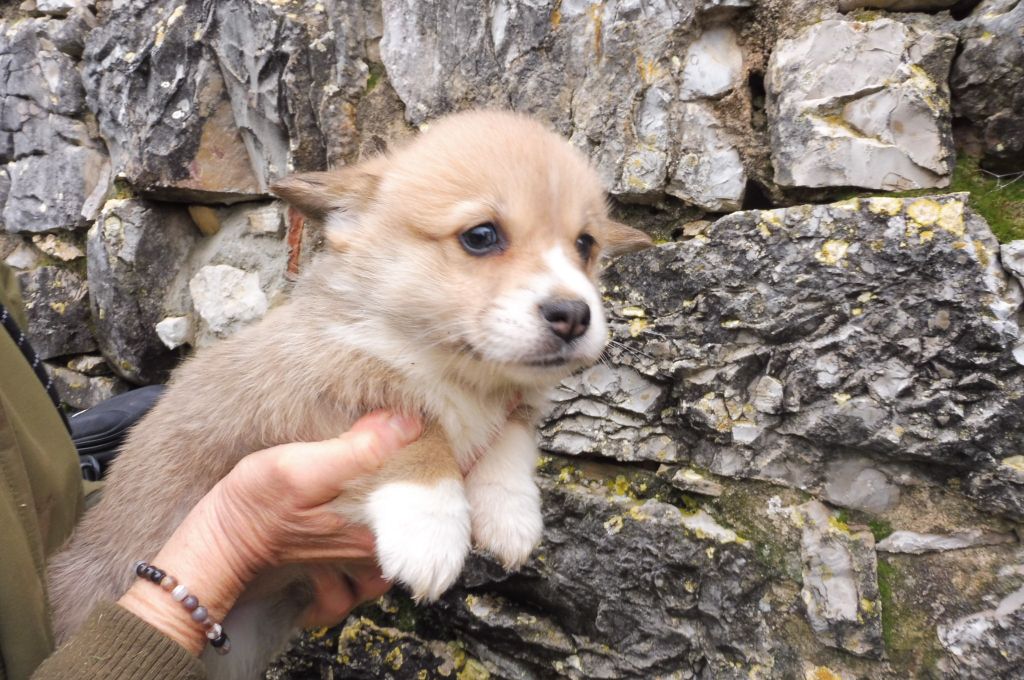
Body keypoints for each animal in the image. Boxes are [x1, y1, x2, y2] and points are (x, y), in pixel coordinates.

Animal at [47, 110, 651, 679]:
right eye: (481, 236)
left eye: (586, 244)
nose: (574, 315)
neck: (456, 371)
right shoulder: (317, 397)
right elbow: (418, 434)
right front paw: (431, 530)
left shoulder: (511, 407)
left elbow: (510, 444)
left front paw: (511, 515)